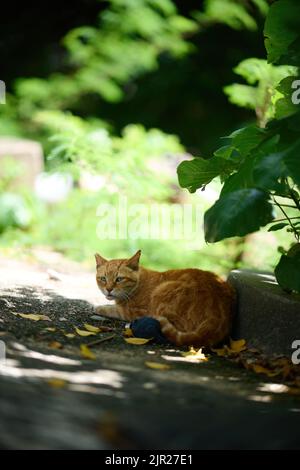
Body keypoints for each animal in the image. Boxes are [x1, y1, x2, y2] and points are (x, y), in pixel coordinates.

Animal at [95, 252, 236, 346]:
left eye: (119, 279)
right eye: (103, 279)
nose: (108, 289)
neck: (138, 285)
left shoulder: (136, 311)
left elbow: (115, 309)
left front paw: (98, 307)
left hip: (163, 291)